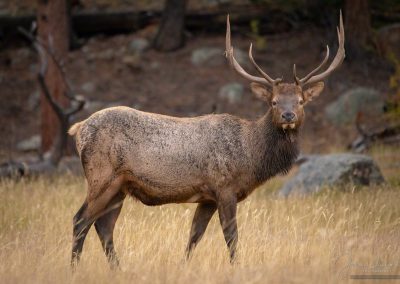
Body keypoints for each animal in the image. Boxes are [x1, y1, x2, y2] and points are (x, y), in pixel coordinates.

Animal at [69, 12, 344, 266]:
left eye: (300, 101)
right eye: (274, 102)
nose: (288, 115)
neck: (251, 155)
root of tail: (78, 128)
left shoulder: (207, 198)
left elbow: (194, 236)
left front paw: (184, 266)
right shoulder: (224, 187)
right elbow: (231, 237)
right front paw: (235, 267)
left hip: (120, 187)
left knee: (104, 226)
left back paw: (117, 268)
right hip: (101, 177)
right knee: (81, 220)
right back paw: (75, 267)